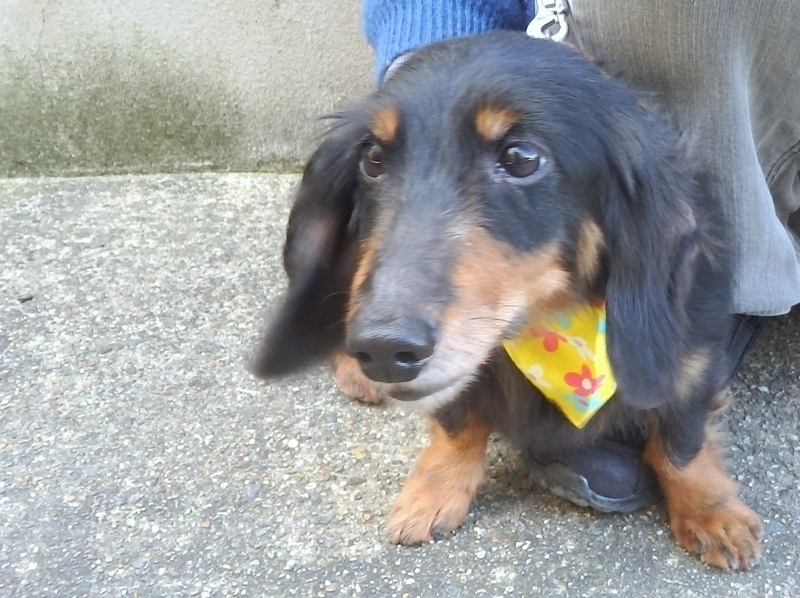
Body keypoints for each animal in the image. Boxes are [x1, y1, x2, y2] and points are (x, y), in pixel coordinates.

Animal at [252, 31, 762, 570]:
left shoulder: (694, 362)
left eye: (521, 158)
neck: (549, 329)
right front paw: (435, 491)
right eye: (371, 158)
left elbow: (681, 443)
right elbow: (457, 427)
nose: (385, 350)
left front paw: (712, 511)